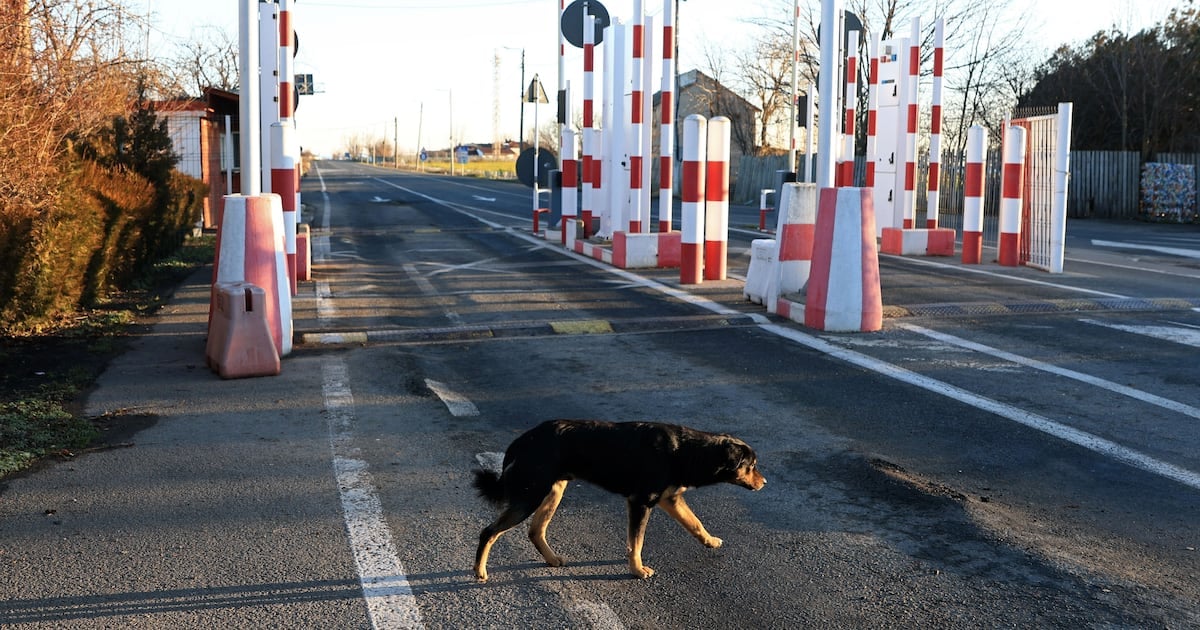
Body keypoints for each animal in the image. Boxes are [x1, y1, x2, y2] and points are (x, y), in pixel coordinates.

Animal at [470, 417, 763, 580]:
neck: (688, 451)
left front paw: (710, 541)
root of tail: (521, 441)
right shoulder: (641, 502)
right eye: (751, 465)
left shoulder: (671, 499)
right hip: (530, 496)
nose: (765, 483)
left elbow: (695, 523)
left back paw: (552, 560)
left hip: (552, 492)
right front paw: (637, 570)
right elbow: (636, 543)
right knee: (489, 532)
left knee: (535, 530)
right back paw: (480, 571)